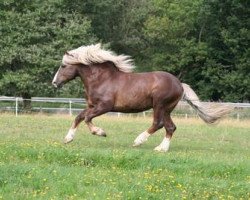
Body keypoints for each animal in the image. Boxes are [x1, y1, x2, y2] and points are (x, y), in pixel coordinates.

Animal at [51, 43, 231, 152]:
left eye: (63, 66)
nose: (54, 83)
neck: (102, 79)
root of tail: (179, 84)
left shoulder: (105, 107)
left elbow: (87, 118)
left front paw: (100, 132)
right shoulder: (92, 106)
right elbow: (79, 117)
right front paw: (68, 139)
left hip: (159, 105)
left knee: (158, 124)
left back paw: (139, 140)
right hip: (167, 109)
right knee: (170, 127)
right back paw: (161, 148)